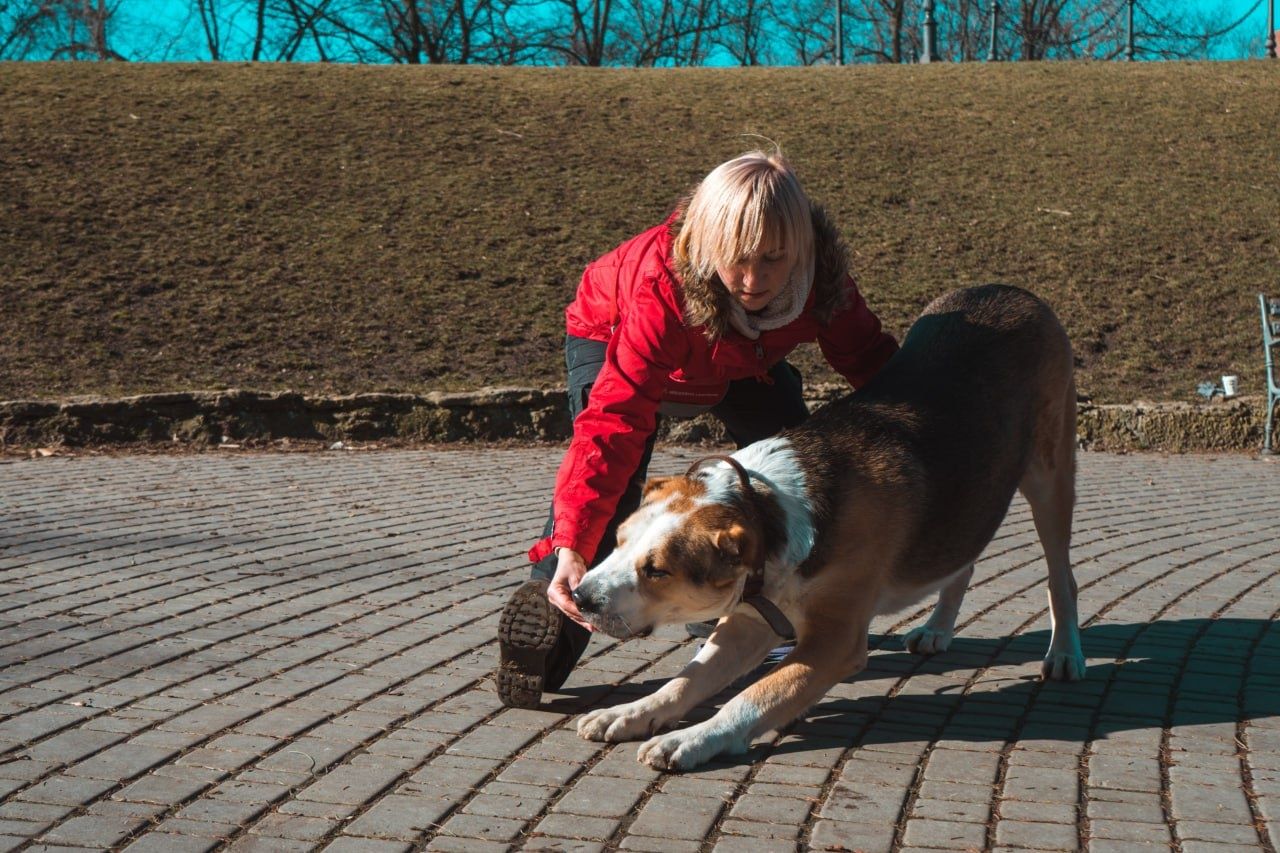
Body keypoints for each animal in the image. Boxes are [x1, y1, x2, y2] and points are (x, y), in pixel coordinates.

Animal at [576, 281, 1085, 768]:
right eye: (617, 541)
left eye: (657, 570)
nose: (580, 597)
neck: (770, 508)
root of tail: (1011, 292)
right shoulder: (746, 622)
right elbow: (686, 679)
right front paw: (632, 712)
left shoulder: (834, 642)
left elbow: (753, 696)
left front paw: (691, 738)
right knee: (964, 557)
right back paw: (938, 627)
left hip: (1050, 476)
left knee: (1062, 576)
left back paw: (1064, 652)